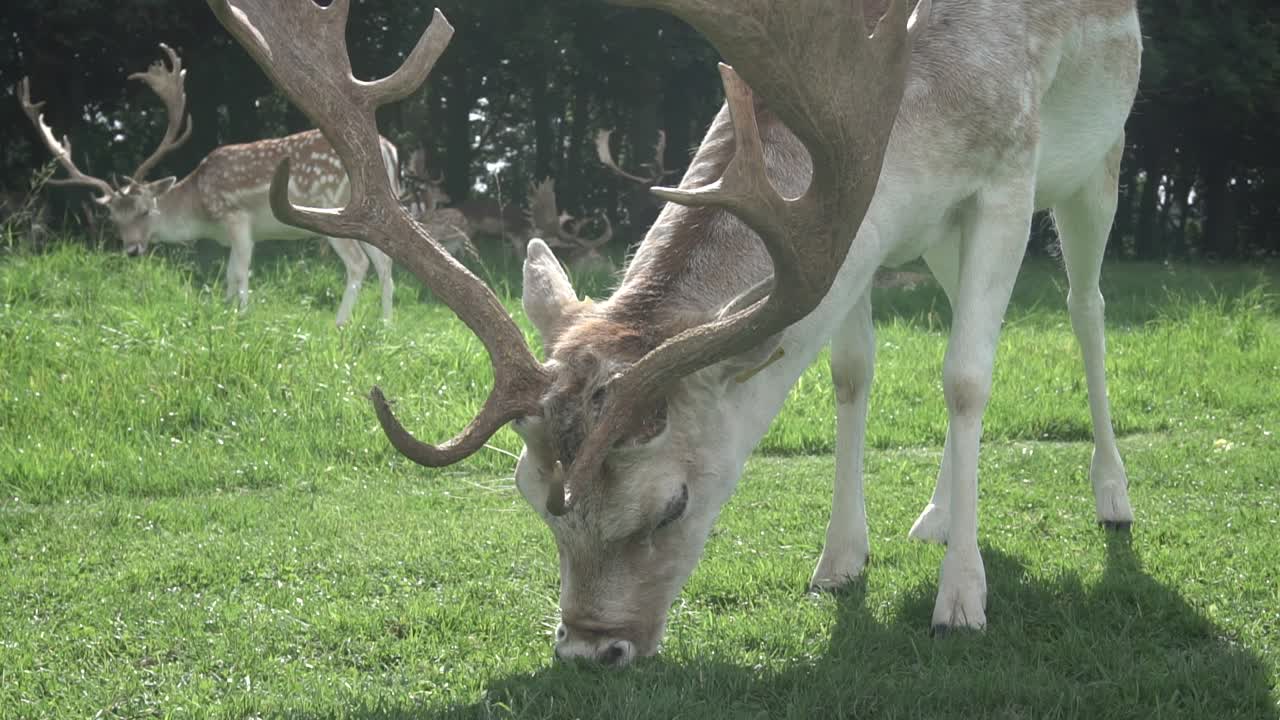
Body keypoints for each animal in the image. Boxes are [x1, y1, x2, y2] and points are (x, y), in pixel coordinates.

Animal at [18, 44, 401, 327]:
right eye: (114, 218)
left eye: (144, 210)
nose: (132, 250)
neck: (199, 210)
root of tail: (388, 149)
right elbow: (229, 275)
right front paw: (227, 312)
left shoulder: (237, 217)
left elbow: (240, 273)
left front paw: (241, 318)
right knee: (385, 263)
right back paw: (385, 324)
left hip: (331, 205)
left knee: (359, 264)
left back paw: (339, 324)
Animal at [210, 0, 1140, 667]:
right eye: (530, 494)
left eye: (674, 506)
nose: (591, 648)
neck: (909, 105)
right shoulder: (861, 233)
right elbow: (851, 371)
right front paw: (839, 563)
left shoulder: (1006, 177)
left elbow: (966, 380)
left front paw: (961, 603)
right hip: (946, 242)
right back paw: (938, 516)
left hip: (1097, 167)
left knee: (1086, 308)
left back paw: (1112, 497)